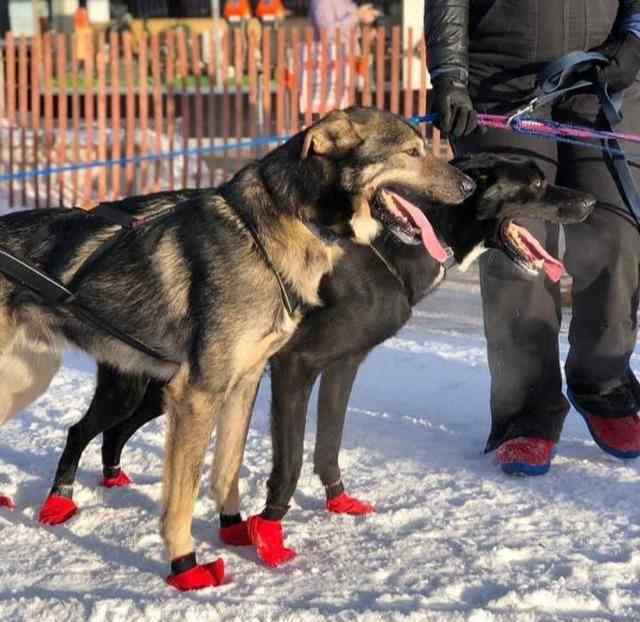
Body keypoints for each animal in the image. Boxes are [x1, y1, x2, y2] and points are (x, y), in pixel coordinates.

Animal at [35, 154, 596, 568]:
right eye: (538, 181)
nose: (591, 200)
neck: (396, 244)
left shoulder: (343, 366)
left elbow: (329, 443)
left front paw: (337, 500)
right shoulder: (295, 367)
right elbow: (289, 462)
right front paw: (268, 532)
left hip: (161, 386)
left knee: (111, 431)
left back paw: (112, 478)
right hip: (147, 384)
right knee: (81, 429)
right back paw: (59, 500)